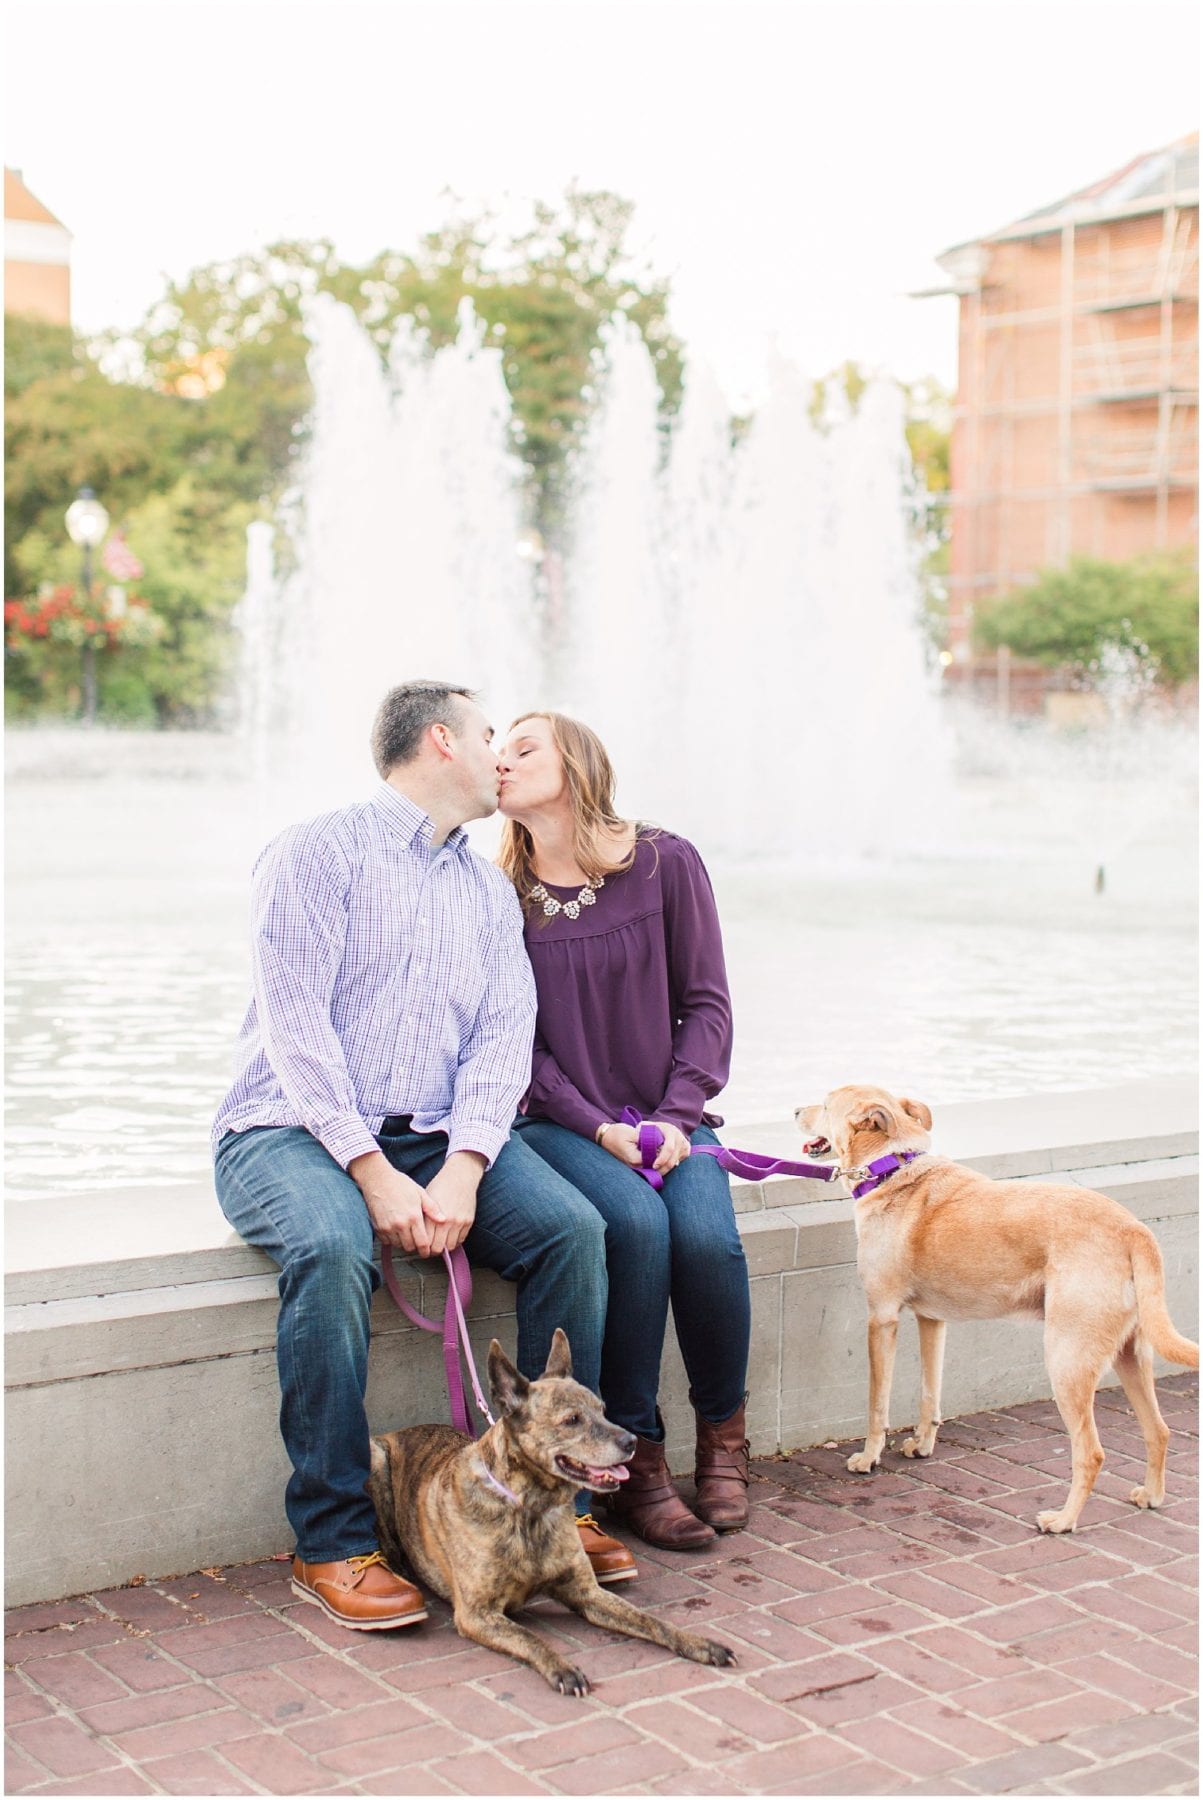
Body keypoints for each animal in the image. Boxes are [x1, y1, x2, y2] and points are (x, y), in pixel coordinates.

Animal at [370, 1332, 738, 1692]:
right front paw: (563, 1668)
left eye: (603, 1410)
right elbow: (530, 1638)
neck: (531, 1509)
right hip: (375, 1459)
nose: (632, 1441)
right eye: (572, 1420)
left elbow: (650, 1619)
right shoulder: (478, 1613)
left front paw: (698, 1642)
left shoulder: (587, 1593)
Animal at [792, 1080, 1195, 1533]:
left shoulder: (882, 1318)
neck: (891, 1169)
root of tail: (1133, 1229)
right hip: (1130, 1354)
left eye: (826, 1105)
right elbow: (929, 1392)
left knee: (1091, 1452)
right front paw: (923, 1444)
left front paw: (868, 1457)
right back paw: (1152, 1496)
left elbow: (877, 1403)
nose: (794, 1111)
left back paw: (1063, 1520)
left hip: (1067, 1359)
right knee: (1159, 1431)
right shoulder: (932, 1319)